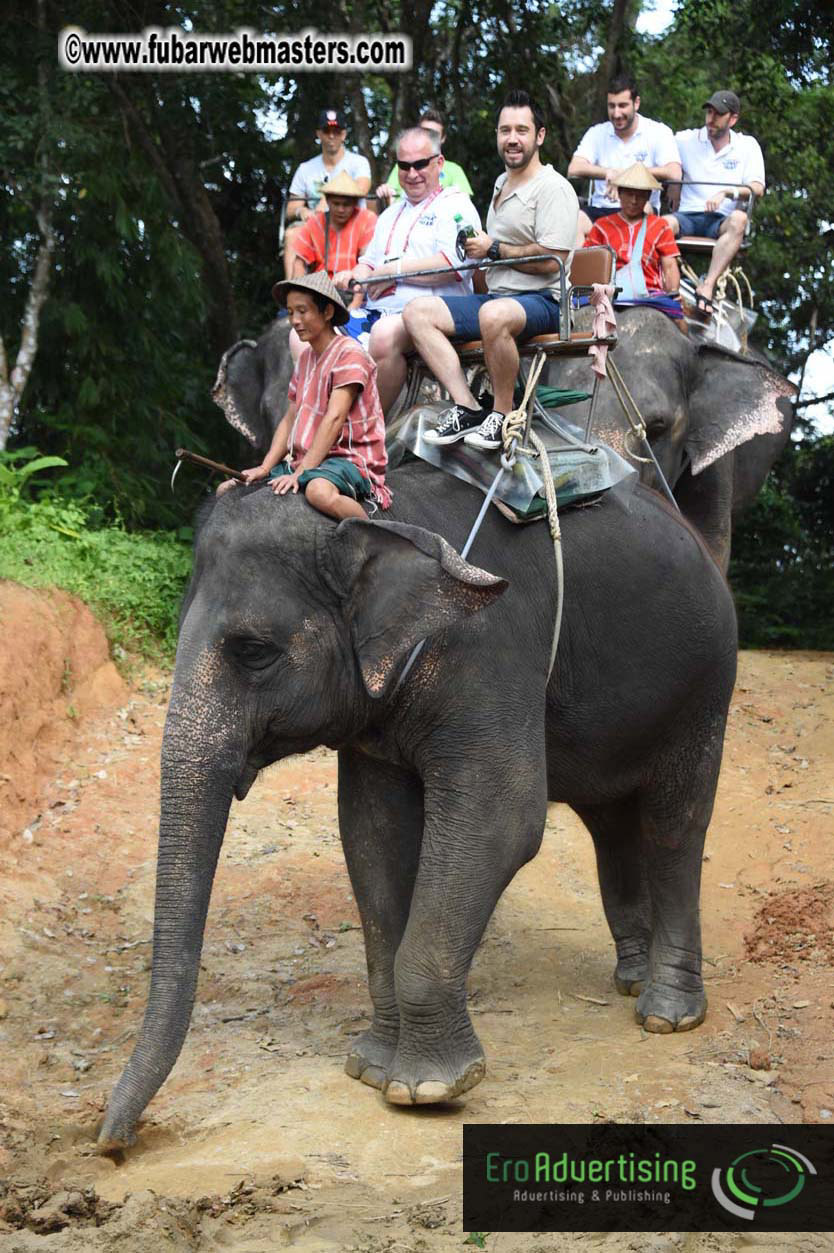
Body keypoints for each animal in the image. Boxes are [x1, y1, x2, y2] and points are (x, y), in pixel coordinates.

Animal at [97, 457, 738, 1151]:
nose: (113, 1143)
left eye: (254, 652)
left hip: (705, 683)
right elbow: (371, 832)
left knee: (675, 825)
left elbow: (504, 817)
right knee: (611, 820)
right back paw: (631, 979)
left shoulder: (486, 650)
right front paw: (372, 1068)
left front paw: (427, 1089)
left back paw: (667, 1015)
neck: (379, 520)